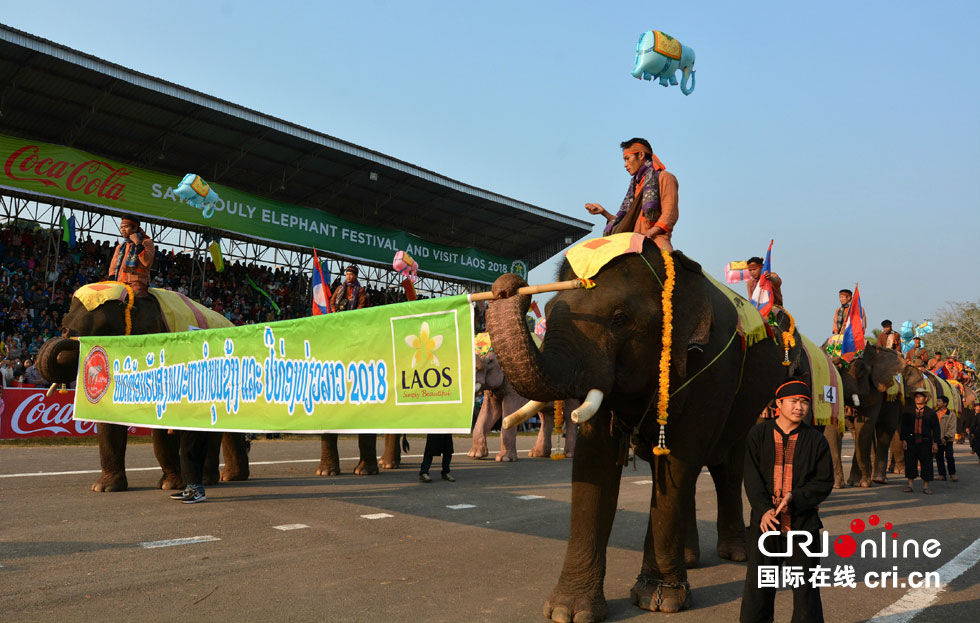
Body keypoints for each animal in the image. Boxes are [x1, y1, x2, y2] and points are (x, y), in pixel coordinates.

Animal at [37, 292, 253, 492]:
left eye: (103, 329)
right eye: (63, 322)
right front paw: (104, 488)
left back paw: (210, 479)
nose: (65, 332)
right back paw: (231, 477)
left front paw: (169, 485)